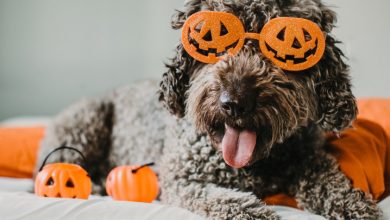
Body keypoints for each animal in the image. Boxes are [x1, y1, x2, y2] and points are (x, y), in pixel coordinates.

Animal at [37, 0, 384, 219]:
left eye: (285, 47)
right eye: (213, 41)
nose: (234, 102)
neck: (253, 164)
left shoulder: (309, 156)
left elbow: (329, 178)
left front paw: (352, 205)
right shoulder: (182, 178)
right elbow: (217, 196)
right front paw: (250, 211)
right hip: (84, 120)